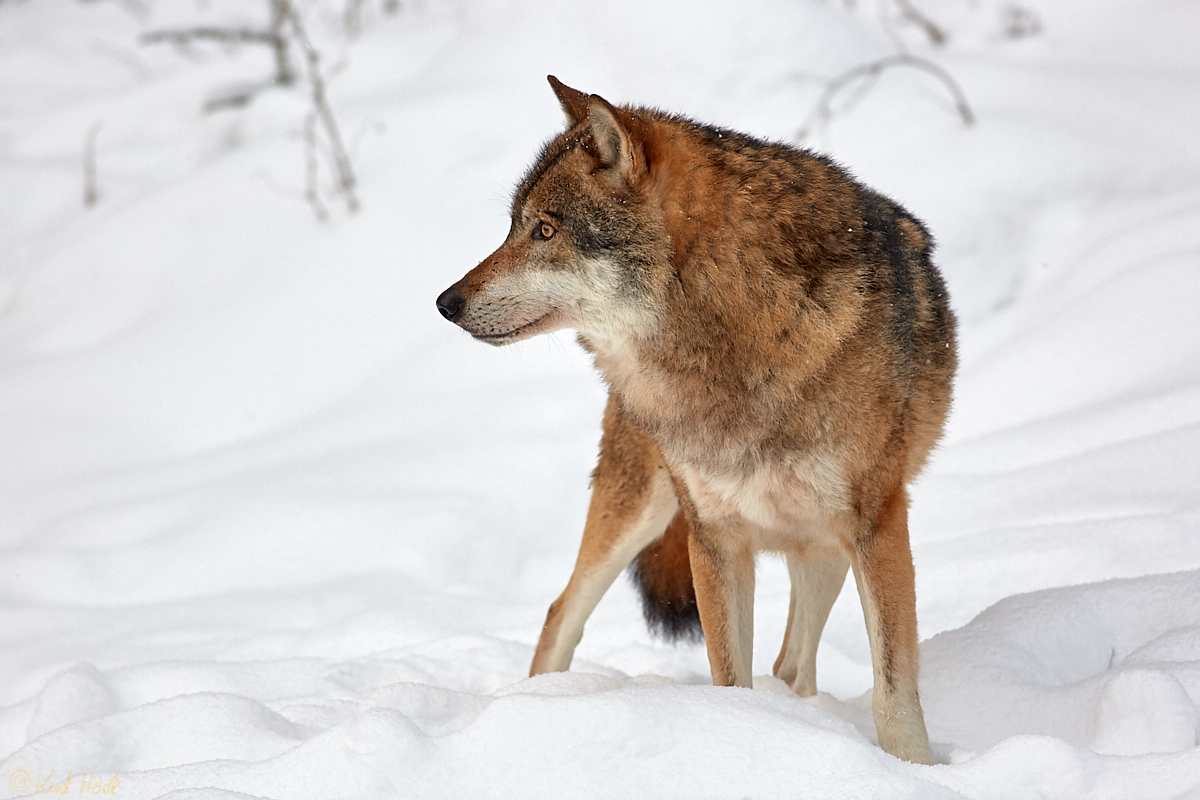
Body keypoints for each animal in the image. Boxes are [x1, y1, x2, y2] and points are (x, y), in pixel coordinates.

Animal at [439, 77, 955, 767]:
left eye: (544, 230)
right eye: (514, 228)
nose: (445, 302)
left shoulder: (876, 525)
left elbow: (894, 693)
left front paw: (913, 769)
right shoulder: (714, 538)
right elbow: (730, 679)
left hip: (821, 545)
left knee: (791, 667)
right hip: (640, 509)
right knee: (559, 612)